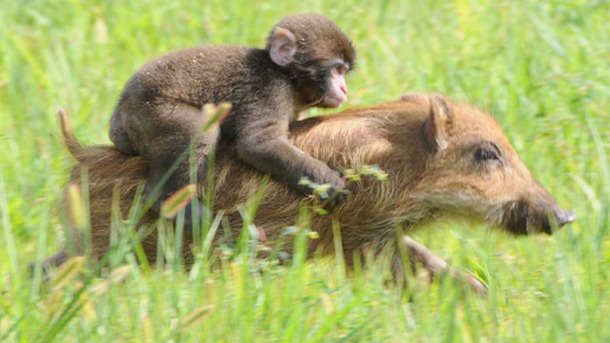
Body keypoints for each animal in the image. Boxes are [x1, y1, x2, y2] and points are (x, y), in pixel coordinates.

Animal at [110, 14, 356, 216]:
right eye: (336, 70)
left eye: (345, 71)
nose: (344, 89)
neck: (283, 74)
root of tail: (117, 121)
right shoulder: (270, 90)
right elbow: (258, 145)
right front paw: (327, 182)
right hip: (147, 112)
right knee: (199, 129)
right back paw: (166, 200)